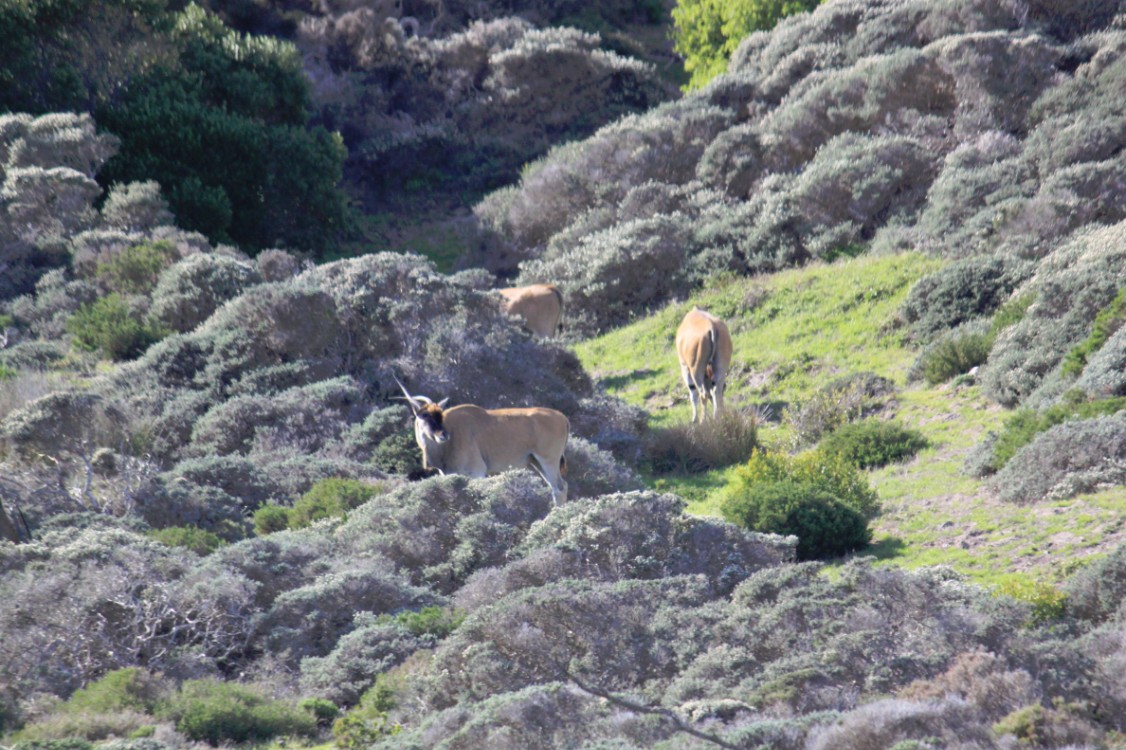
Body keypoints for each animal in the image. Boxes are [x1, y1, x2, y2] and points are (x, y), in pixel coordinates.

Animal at [396, 380, 572, 502]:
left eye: (440, 414)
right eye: (425, 415)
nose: (443, 435)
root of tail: (562, 418)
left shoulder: (477, 472)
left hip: (548, 461)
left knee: (560, 489)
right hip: (537, 462)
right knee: (558, 487)